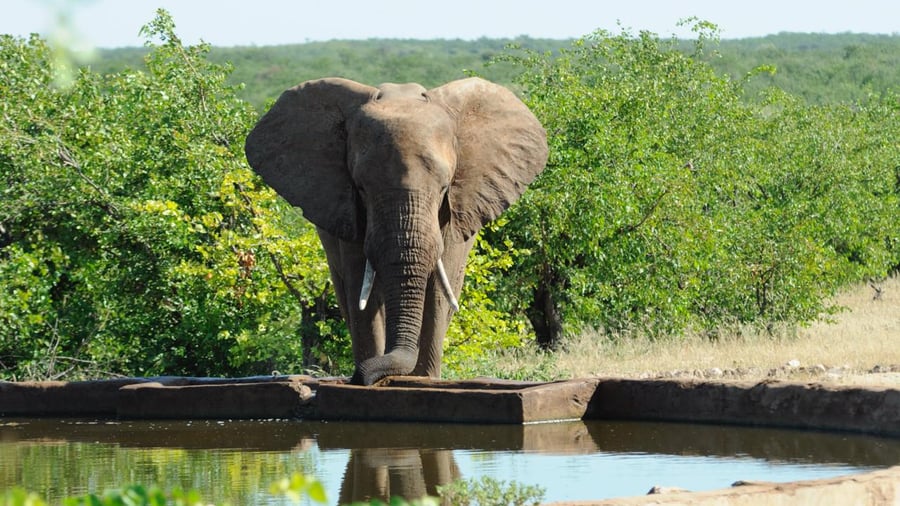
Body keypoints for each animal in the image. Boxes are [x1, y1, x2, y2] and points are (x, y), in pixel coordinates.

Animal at [244, 77, 548, 385]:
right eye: (361, 188)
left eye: (444, 188)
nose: (357, 376)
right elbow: (360, 291)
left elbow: (438, 293)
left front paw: (424, 380)